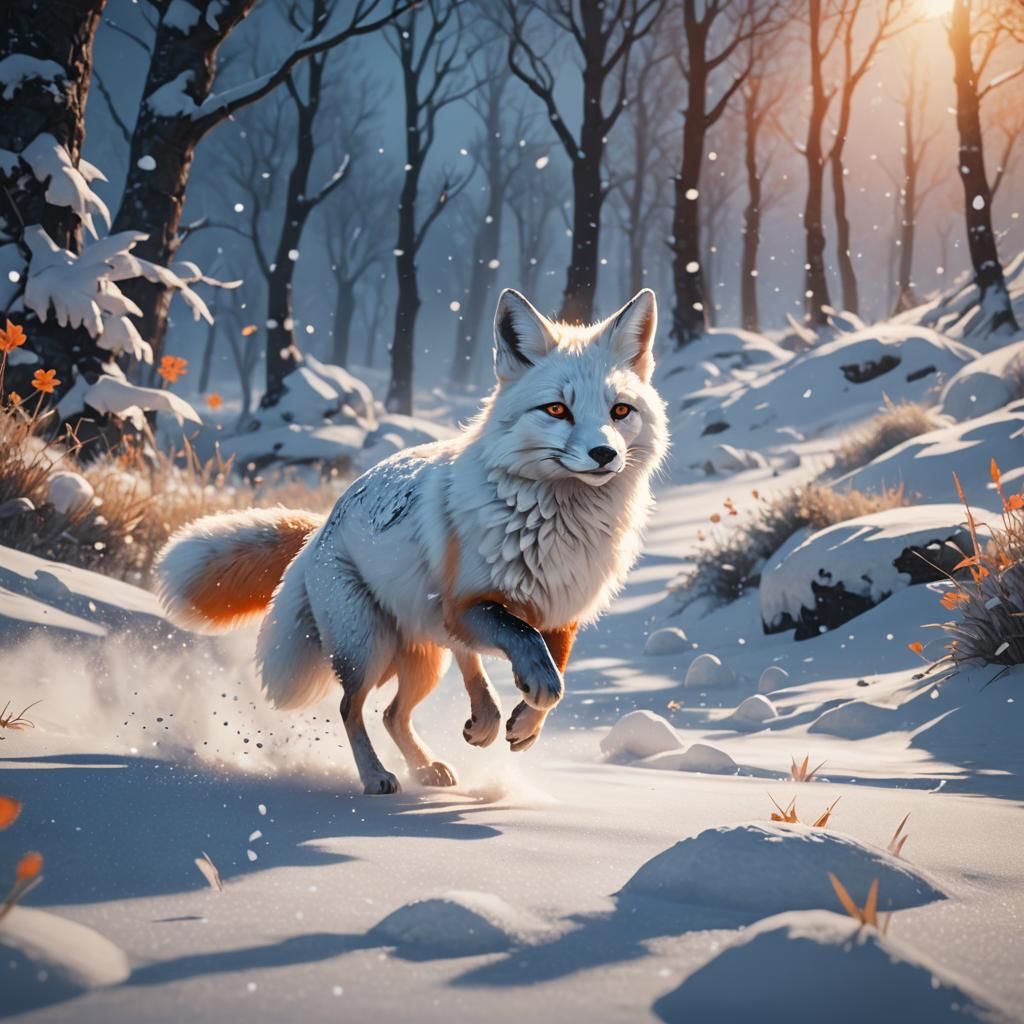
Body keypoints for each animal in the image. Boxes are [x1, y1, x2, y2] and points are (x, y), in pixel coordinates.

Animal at [156, 287, 669, 794]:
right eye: (557, 409)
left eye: (620, 411)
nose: (604, 454)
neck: (557, 528)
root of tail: (322, 525)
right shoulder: (469, 605)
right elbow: (529, 648)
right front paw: (527, 699)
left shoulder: (562, 614)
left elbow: (553, 673)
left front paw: (526, 724)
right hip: (369, 648)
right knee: (353, 707)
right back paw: (378, 775)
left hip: (424, 659)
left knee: (393, 712)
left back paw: (443, 754)